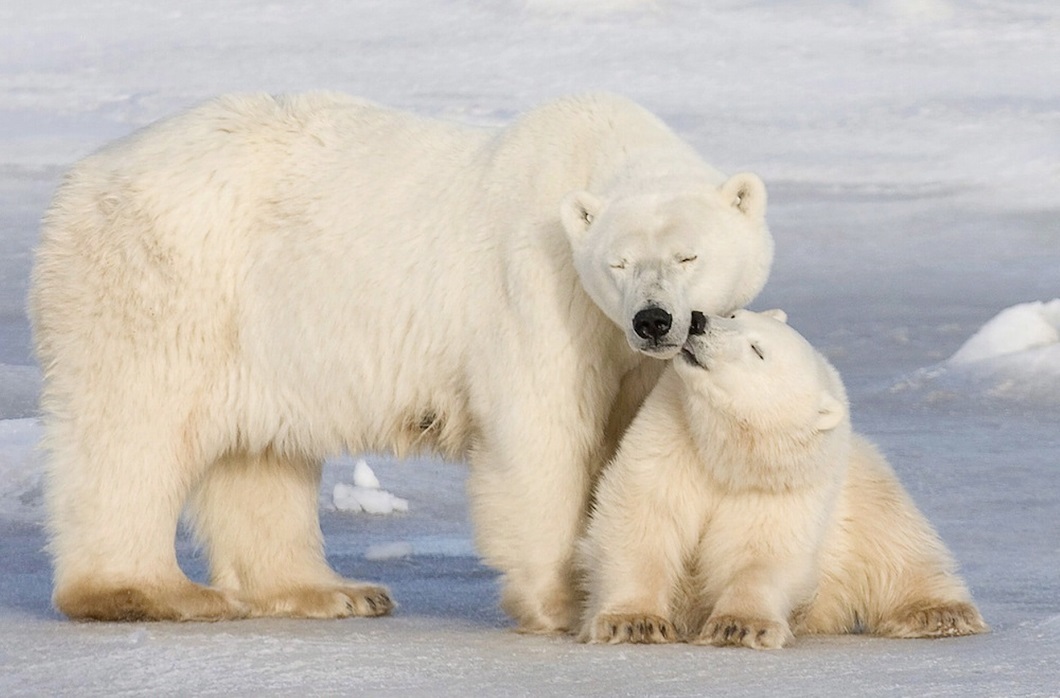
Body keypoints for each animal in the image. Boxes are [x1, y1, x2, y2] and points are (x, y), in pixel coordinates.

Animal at [24, 89, 771, 627]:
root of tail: (80, 178)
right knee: (133, 429)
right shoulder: (539, 291)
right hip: (163, 280)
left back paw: (335, 591)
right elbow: (543, 432)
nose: (653, 318)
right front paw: (562, 602)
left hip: (261, 330)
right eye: (618, 262)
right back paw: (151, 592)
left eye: (689, 256)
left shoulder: (629, 352)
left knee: (259, 455)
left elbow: (632, 442)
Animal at [580, 307, 983, 644]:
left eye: (757, 350)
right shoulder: (668, 442)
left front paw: (739, 627)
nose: (697, 320)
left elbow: (763, 549)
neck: (725, 453)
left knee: (896, 540)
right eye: (733, 314)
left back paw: (940, 613)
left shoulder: (782, 485)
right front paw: (635, 622)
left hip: (865, 486)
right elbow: (644, 520)